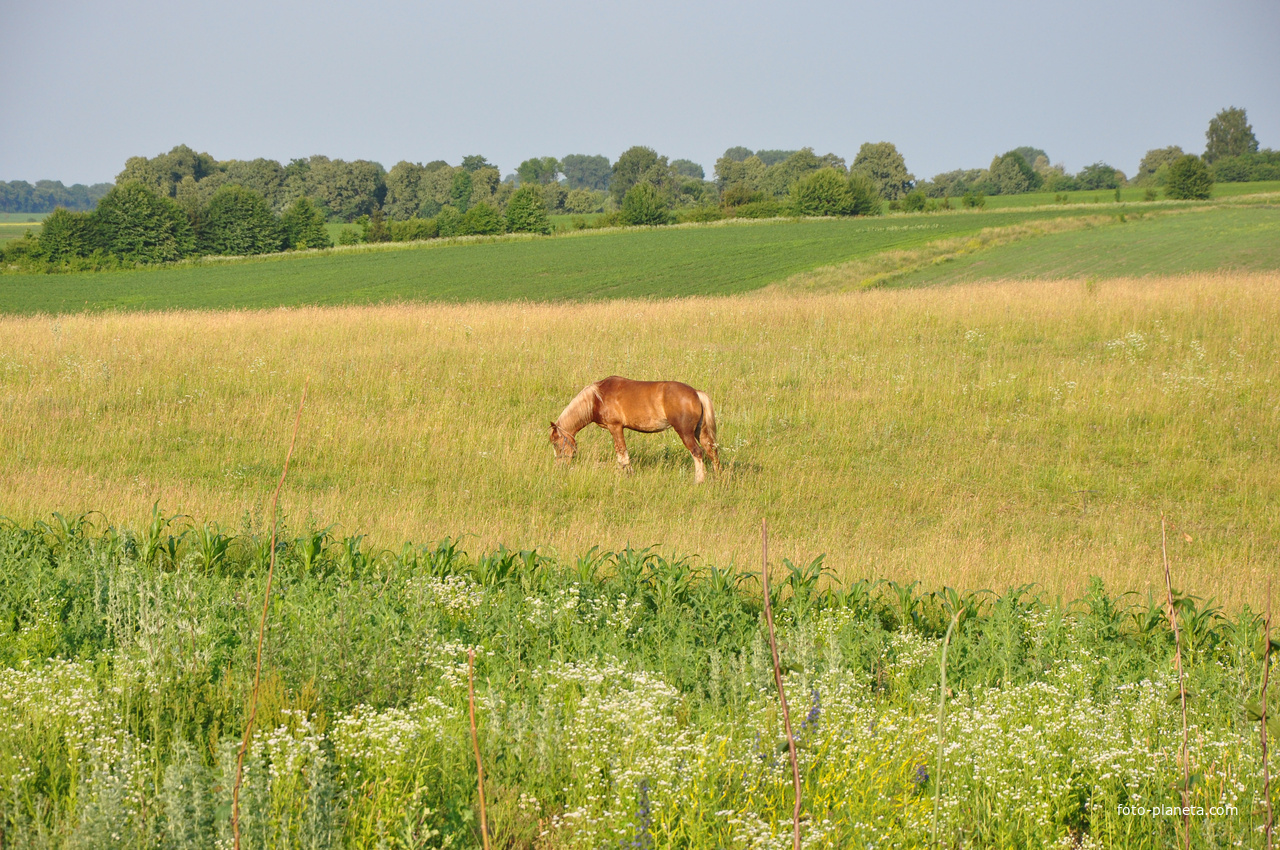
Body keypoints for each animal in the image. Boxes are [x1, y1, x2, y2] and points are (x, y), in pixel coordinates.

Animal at [550, 376, 721, 481]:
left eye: (556, 444)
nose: (559, 467)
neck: (597, 397)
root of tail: (696, 393)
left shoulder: (615, 427)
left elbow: (621, 452)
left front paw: (627, 473)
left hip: (685, 433)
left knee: (697, 452)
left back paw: (699, 480)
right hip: (700, 433)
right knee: (711, 451)